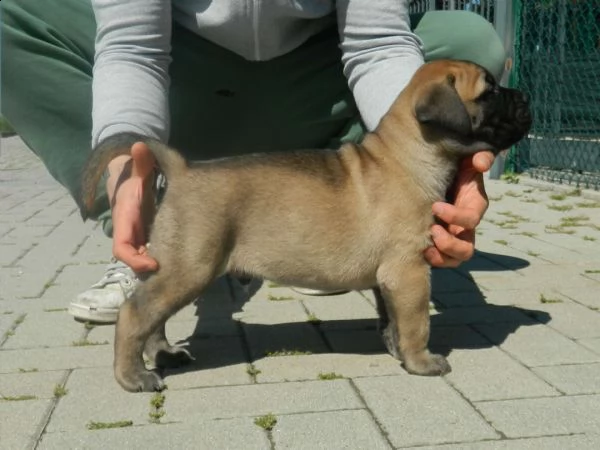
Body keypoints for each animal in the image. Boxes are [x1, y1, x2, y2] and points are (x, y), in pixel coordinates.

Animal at [78, 59, 528, 390]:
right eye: (489, 92)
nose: (524, 96)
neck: (409, 153)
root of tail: (182, 169)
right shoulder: (409, 272)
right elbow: (417, 321)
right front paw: (421, 361)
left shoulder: (390, 278)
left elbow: (391, 319)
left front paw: (396, 349)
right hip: (191, 267)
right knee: (135, 313)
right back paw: (133, 376)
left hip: (175, 268)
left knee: (153, 313)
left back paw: (163, 354)